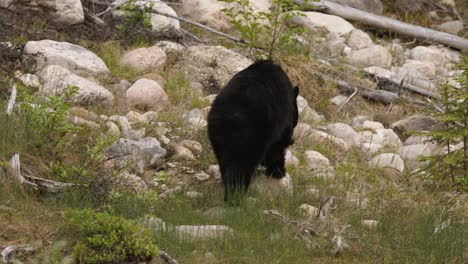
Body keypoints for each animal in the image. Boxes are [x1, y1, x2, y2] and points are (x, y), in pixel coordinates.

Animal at [208, 59, 300, 203]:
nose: (293, 140)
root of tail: (229, 117)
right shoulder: (281, 120)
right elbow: (278, 145)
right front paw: (278, 172)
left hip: (217, 139)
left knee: (224, 164)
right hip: (251, 136)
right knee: (242, 166)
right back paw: (236, 196)